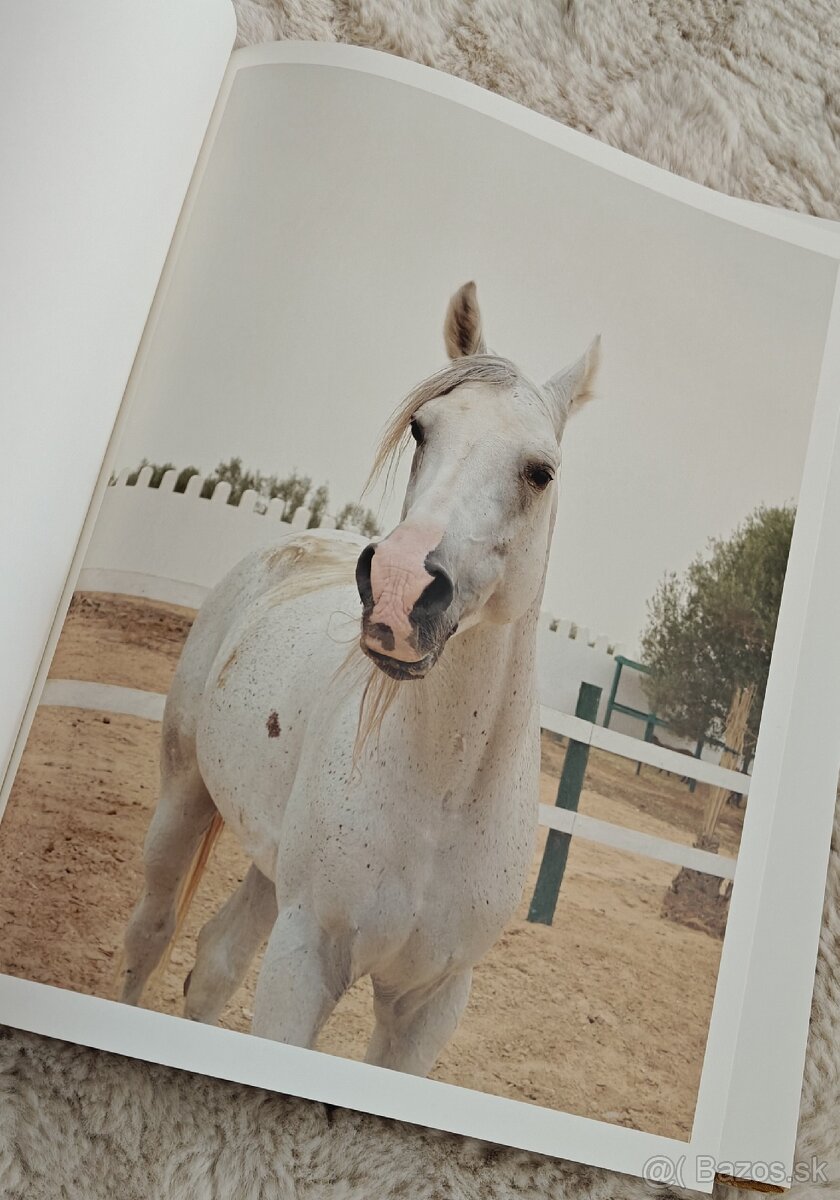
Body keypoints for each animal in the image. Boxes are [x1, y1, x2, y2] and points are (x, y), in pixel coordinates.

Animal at [120, 281, 600, 1077]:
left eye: (542, 471)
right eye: (422, 430)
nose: (401, 587)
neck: (440, 802)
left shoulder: (430, 1003)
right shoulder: (304, 957)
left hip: (270, 869)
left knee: (214, 963)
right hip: (183, 796)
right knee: (152, 934)